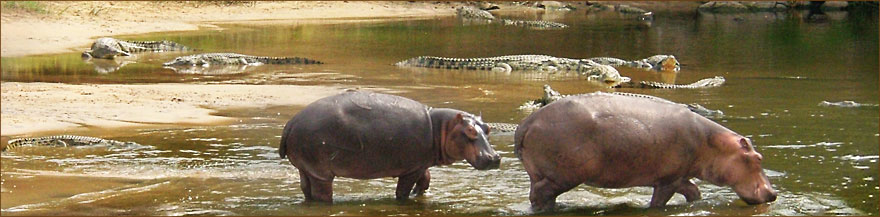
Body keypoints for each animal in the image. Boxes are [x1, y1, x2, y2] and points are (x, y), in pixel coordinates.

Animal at [282, 89, 502, 202]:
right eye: (470, 131)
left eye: (488, 128)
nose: (494, 157)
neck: (441, 128)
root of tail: (292, 122)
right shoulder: (411, 169)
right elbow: (402, 191)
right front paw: (406, 198)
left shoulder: (420, 164)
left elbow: (426, 180)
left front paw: (419, 194)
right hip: (321, 172)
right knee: (322, 194)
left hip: (307, 168)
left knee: (306, 189)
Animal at [516, 92, 776, 211]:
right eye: (757, 158)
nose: (773, 193)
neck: (711, 143)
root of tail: (526, 123)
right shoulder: (668, 180)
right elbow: (659, 203)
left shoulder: (678, 175)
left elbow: (694, 192)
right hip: (564, 175)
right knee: (540, 193)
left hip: (540, 174)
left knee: (540, 194)